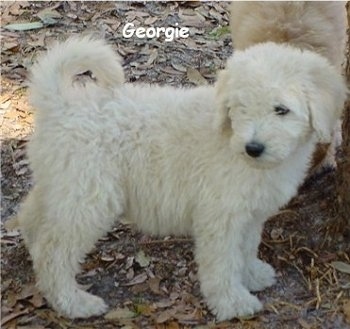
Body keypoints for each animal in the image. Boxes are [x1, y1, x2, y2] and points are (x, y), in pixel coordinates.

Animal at [17, 36, 346, 320]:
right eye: (241, 108)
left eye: (281, 110)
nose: (253, 148)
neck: (231, 139)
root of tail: (61, 103)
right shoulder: (220, 217)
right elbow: (223, 262)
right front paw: (233, 302)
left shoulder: (249, 215)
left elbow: (246, 247)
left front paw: (252, 274)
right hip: (88, 198)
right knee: (54, 253)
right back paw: (74, 303)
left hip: (64, 185)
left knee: (34, 217)